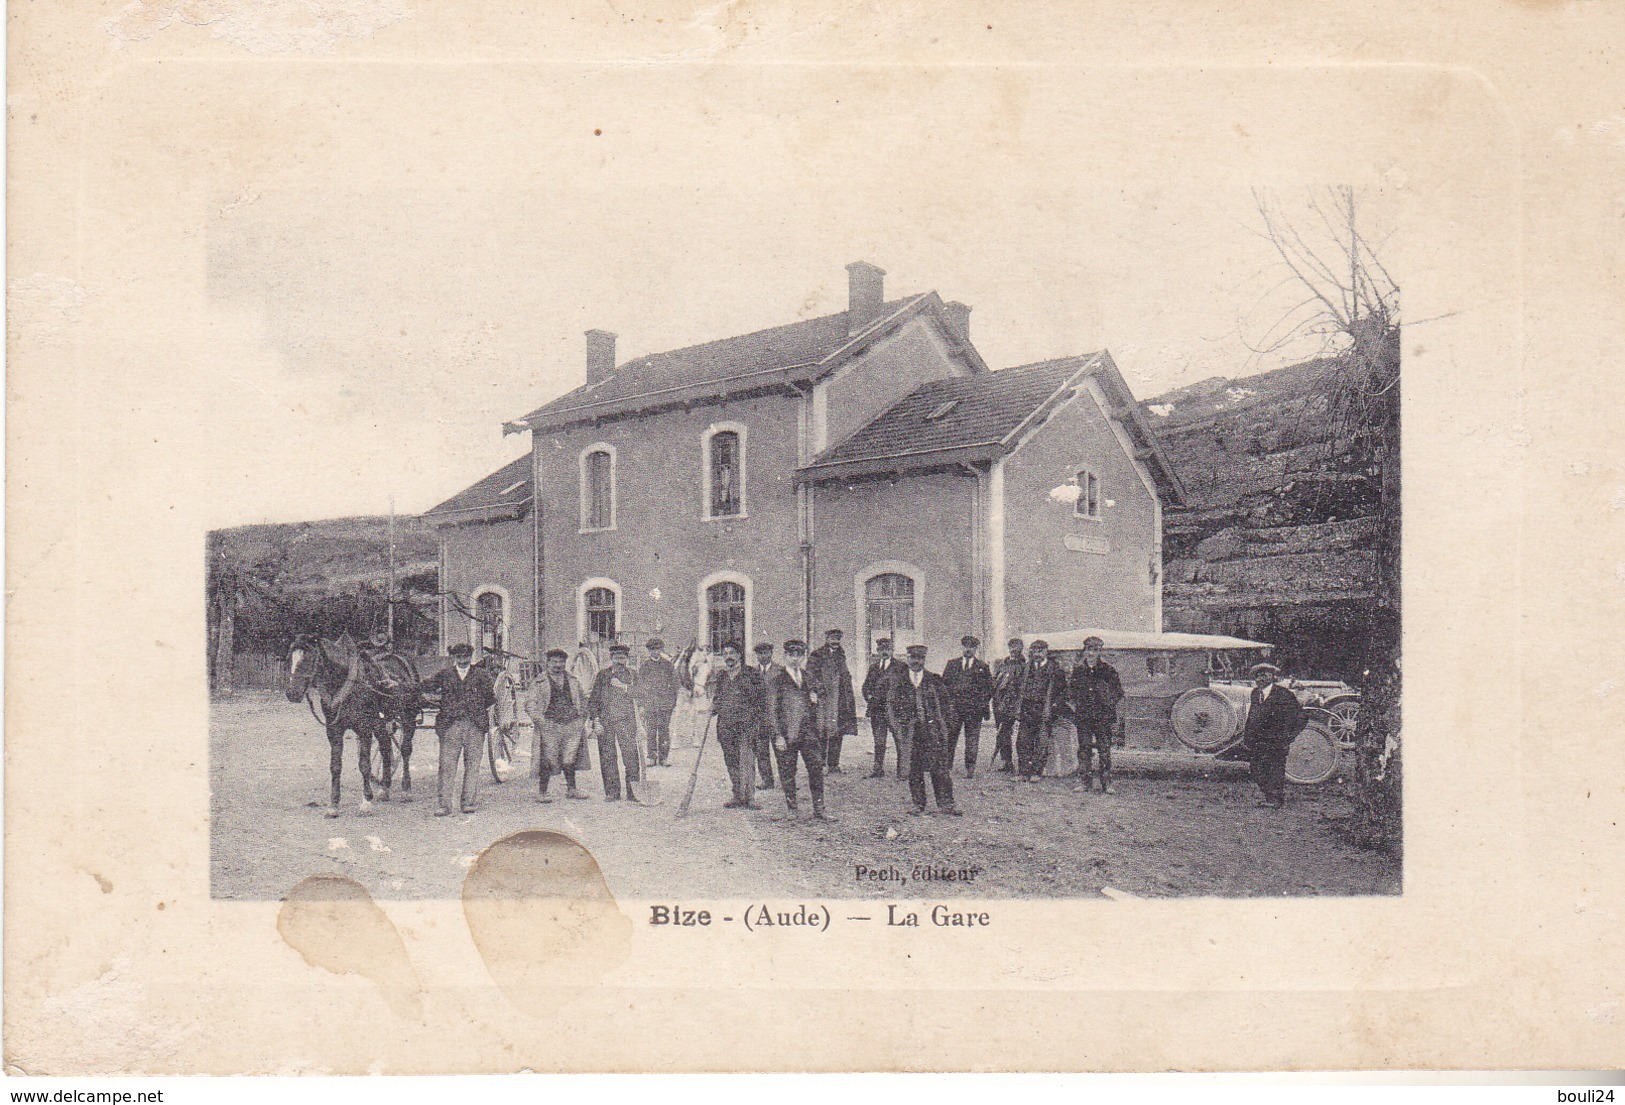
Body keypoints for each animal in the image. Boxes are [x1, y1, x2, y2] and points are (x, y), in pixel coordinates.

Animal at [289, 633, 422, 815]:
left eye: (309, 658)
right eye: (290, 657)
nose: (291, 693)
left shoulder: (364, 729)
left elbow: (364, 765)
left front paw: (366, 802)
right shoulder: (333, 730)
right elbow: (335, 766)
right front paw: (334, 804)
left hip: (408, 718)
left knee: (405, 750)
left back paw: (406, 790)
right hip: (381, 723)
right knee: (386, 748)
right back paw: (385, 788)